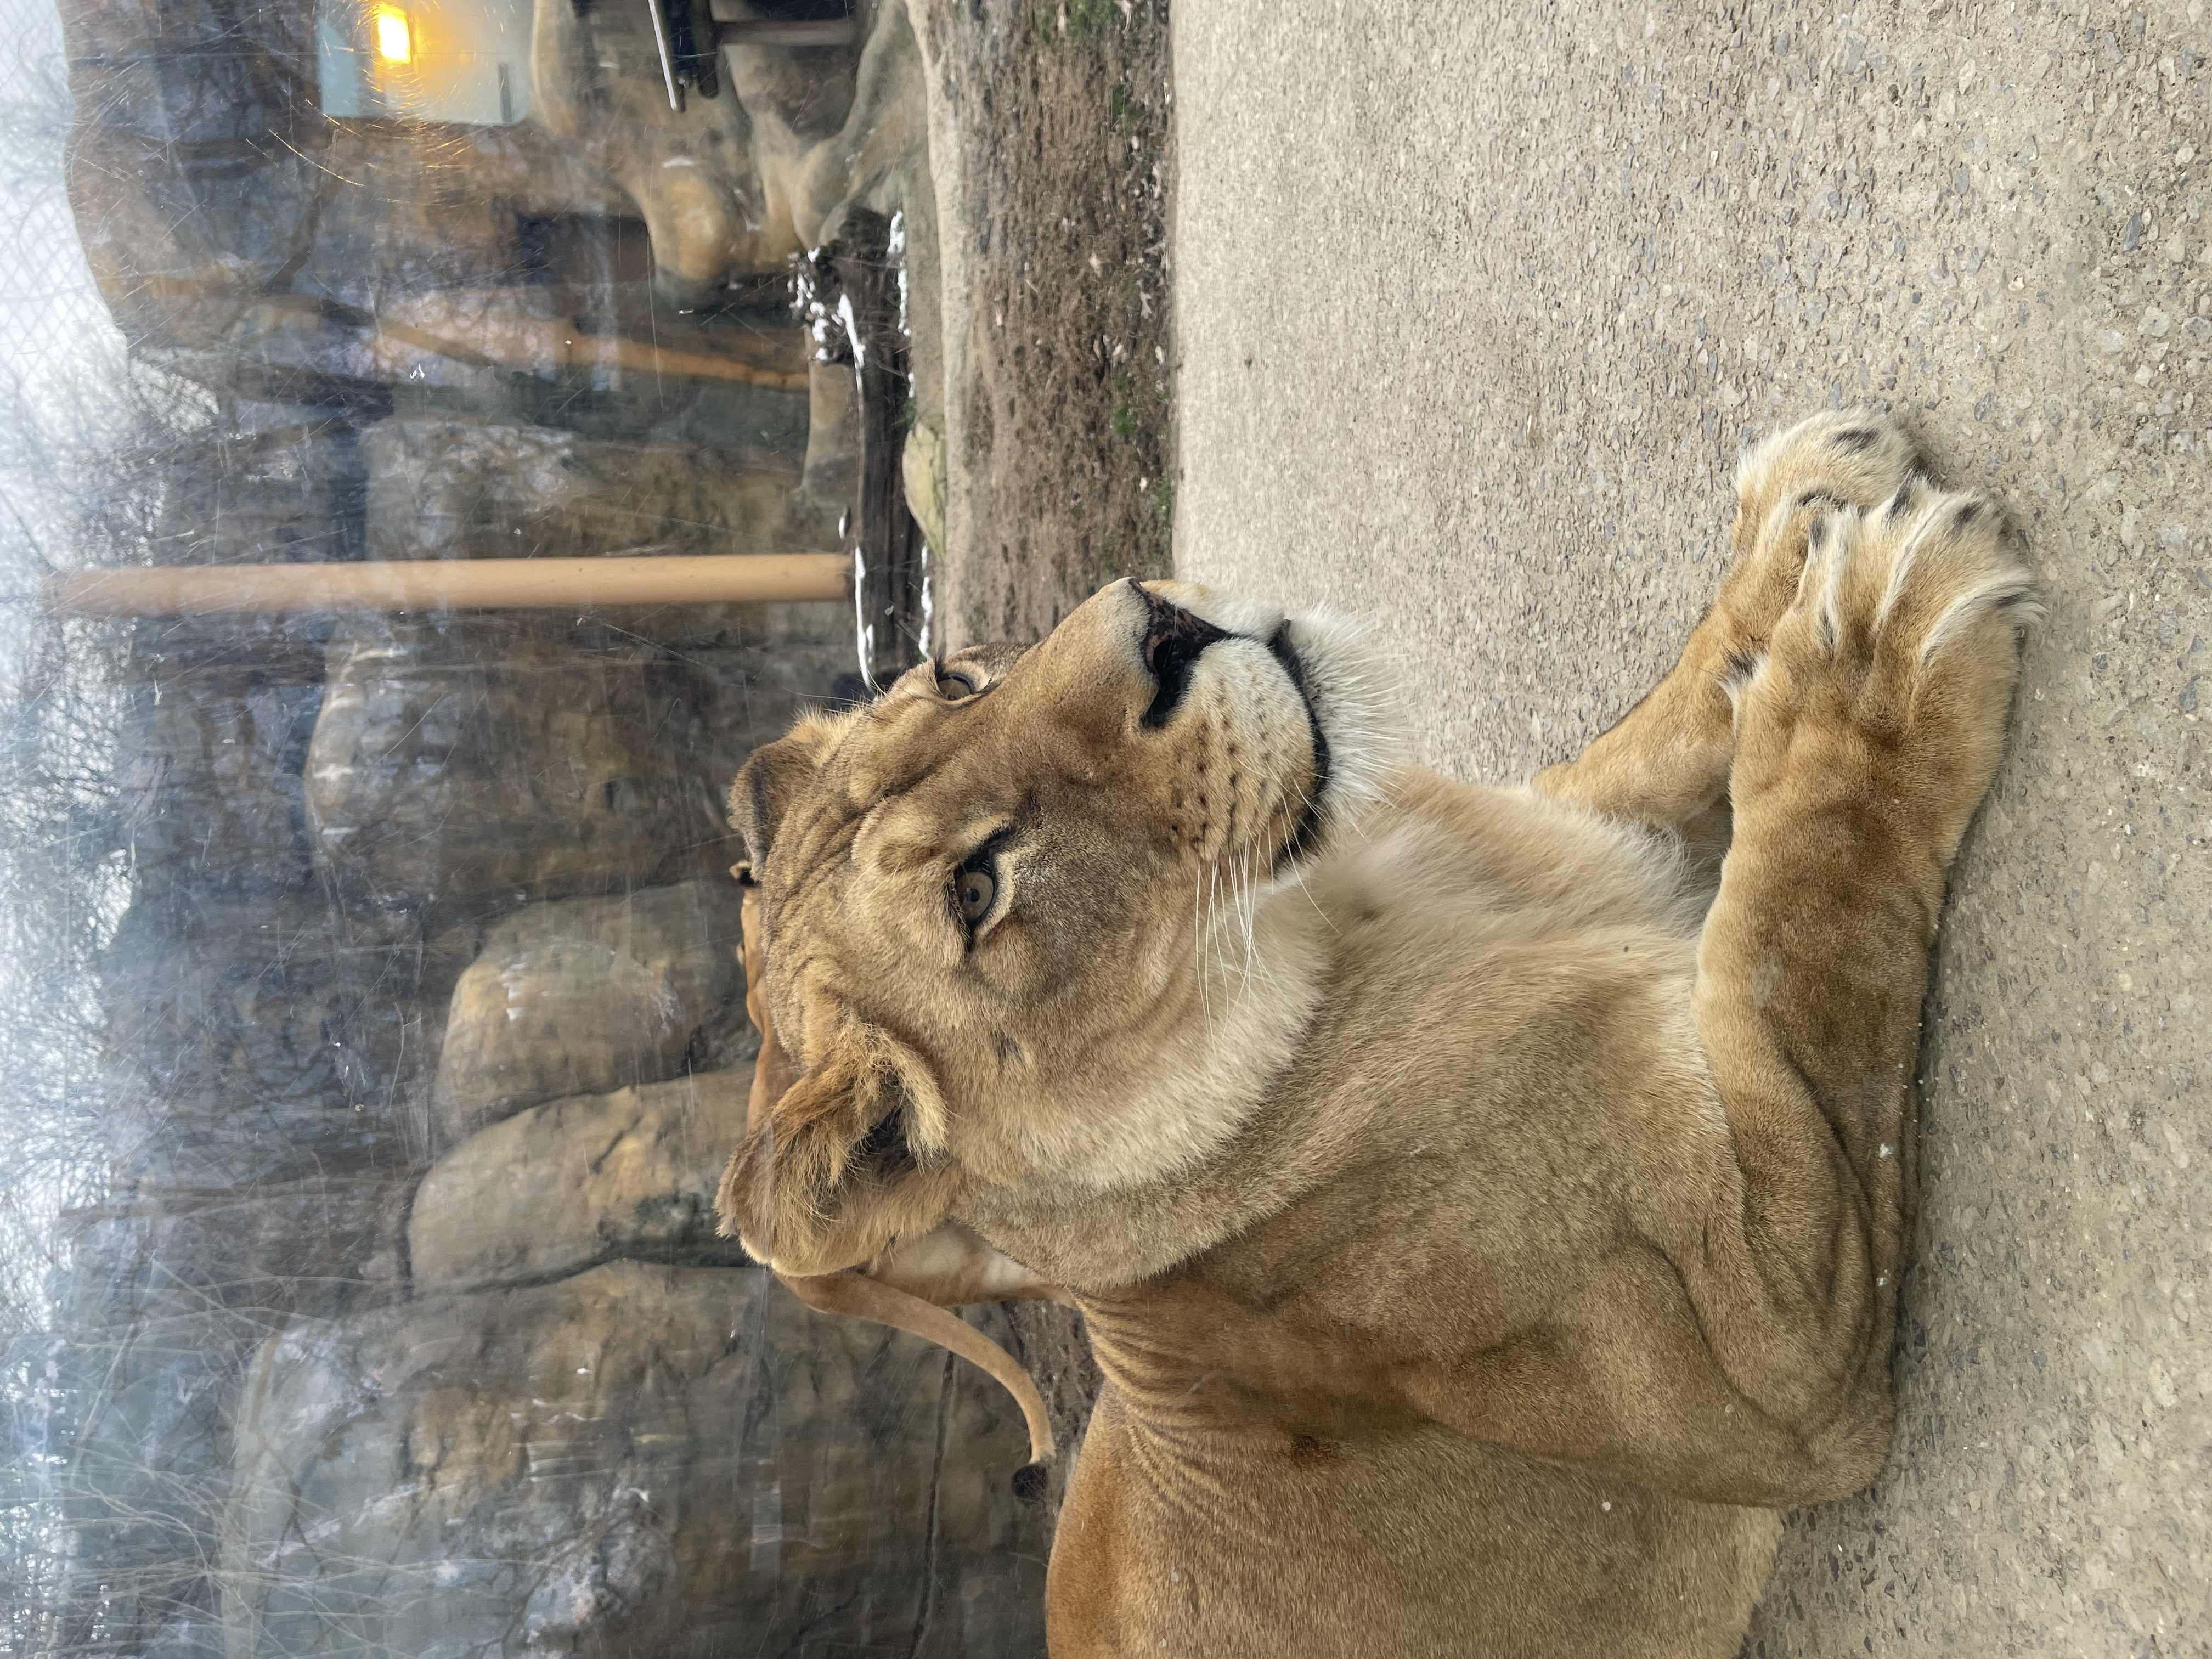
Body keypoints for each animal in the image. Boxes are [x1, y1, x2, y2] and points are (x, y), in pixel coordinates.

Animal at [715, 410, 2036, 1658]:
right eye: (977, 889)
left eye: (954, 678)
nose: (1164, 632)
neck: (1345, 909)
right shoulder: (1764, 1343)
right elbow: (1807, 921)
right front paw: (1870, 651)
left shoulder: (1555, 819)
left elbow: (1654, 738)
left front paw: (1792, 527)